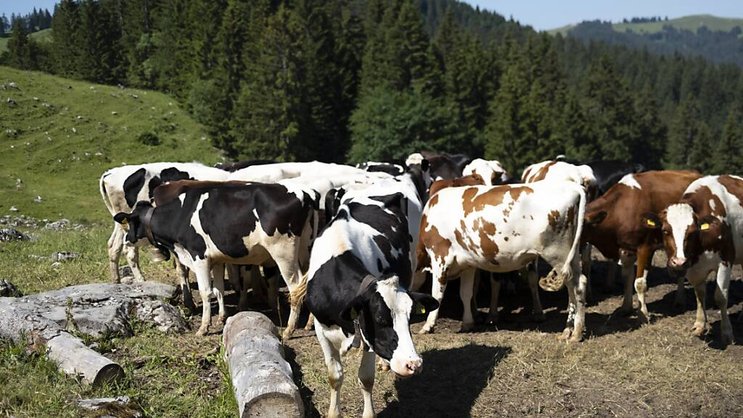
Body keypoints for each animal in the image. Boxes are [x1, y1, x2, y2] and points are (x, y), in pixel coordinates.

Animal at [113, 180, 317, 338]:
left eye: (130, 222)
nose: (127, 238)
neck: (181, 215)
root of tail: (304, 194)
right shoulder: (217, 260)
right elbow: (219, 289)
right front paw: (221, 317)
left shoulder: (199, 256)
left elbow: (206, 291)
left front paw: (204, 327)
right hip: (306, 249)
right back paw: (309, 324)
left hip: (283, 253)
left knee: (295, 288)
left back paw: (289, 330)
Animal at [301, 164, 436, 418]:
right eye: (380, 318)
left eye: (410, 317)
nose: (414, 364)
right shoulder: (321, 329)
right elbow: (334, 376)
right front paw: (334, 412)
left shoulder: (367, 337)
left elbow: (365, 378)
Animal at [415, 181, 588, 341]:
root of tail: (573, 186)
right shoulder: (467, 264)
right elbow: (466, 294)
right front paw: (467, 323)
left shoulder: (440, 257)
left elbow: (437, 295)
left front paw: (427, 326)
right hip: (571, 255)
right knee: (575, 285)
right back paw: (567, 330)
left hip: (556, 252)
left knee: (577, 285)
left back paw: (576, 334)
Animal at [582, 170, 702, 320]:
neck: (621, 208)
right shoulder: (626, 249)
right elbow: (627, 277)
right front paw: (626, 308)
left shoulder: (646, 248)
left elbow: (639, 282)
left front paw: (642, 313)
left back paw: (680, 300)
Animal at [643, 175, 743, 345]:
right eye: (665, 231)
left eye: (692, 232)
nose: (678, 262)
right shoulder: (693, 267)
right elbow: (700, 294)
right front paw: (700, 324)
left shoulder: (726, 260)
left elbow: (721, 297)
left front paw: (726, 332)